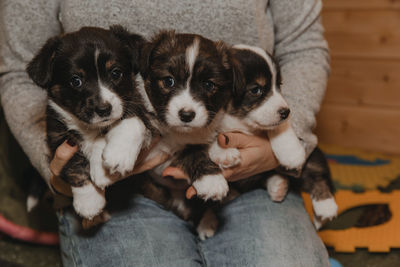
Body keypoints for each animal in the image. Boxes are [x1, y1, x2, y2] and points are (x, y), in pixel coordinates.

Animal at [26, 25, 152, 222]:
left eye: (116, 73)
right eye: (76, 80)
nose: (104, 109)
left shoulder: (143, 113)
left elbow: (132, 123)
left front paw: (117, 157)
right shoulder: (57, 137)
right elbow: (75, 165)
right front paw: (89, 202)